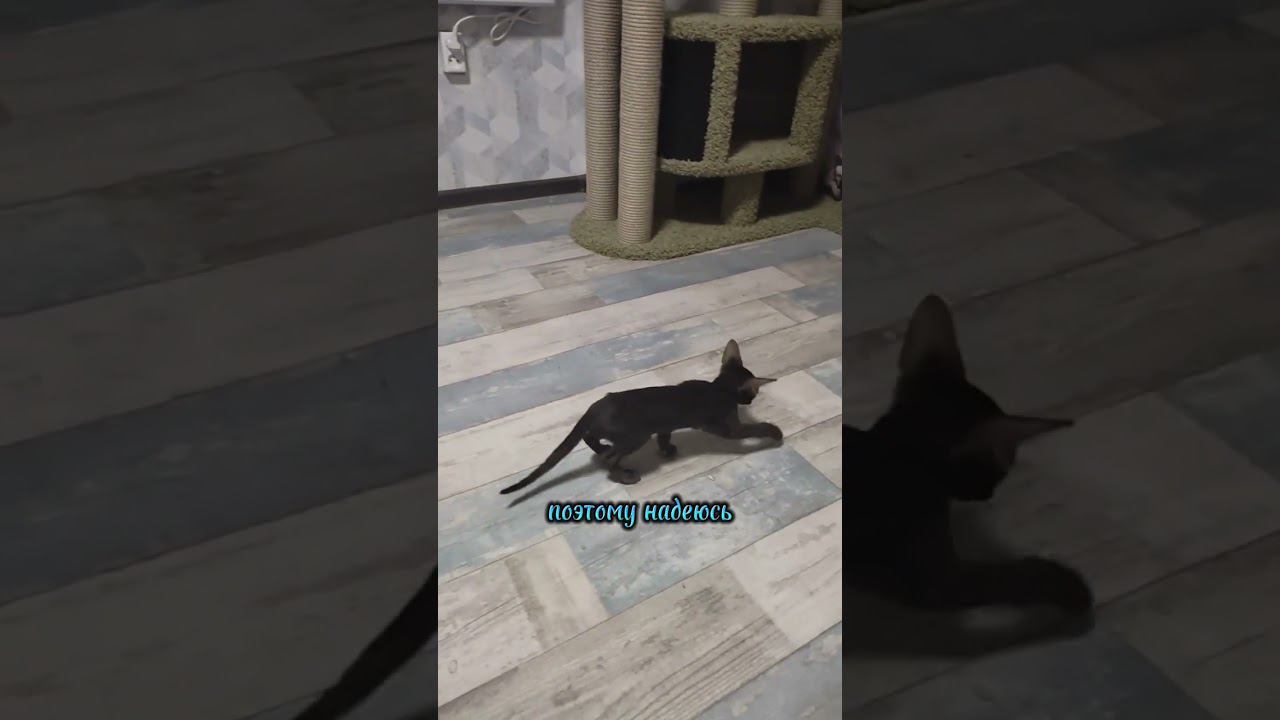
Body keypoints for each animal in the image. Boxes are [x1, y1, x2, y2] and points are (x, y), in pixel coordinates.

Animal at [499, 339, 781, 495]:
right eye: (753, 394)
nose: (753, 400)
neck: (719, 388)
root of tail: (598, 405)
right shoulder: (727, 428)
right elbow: (757, 428)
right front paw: (775, 433)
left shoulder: (665, 424)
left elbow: (665, 436)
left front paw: (667, 449)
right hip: (637, 436)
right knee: (608, 456)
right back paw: (623, 474)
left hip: (614, 431)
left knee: (591, 438)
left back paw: (602, 448)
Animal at [846, 295, 1094, 644]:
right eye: (1002, 468)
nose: (989, 496)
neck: (898, 455)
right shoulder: (938, 581)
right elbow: (1015, 575)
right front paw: (1068, 584)